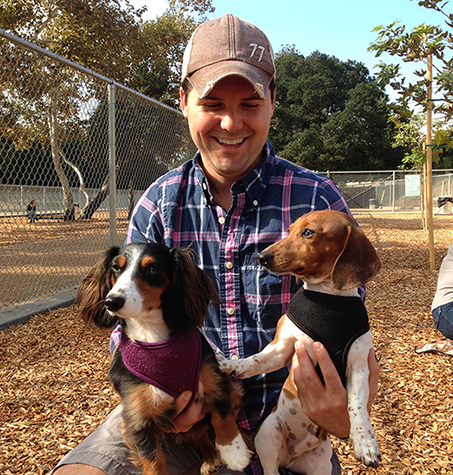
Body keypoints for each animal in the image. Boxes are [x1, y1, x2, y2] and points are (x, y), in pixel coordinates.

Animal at [77, 244, 251, 474]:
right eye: (116, 267)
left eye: (153, 269)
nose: (111, 301)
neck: (153, 338)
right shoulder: (139, 421)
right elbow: (153, 460)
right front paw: (228, 452)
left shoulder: (216, 381)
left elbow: (221, 416)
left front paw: (234, 451)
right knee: (199, 434)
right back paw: (211, 458)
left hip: (234, 390)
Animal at [217, 211, 380, 475]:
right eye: (290, 229)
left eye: (308, 232)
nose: (262, 257)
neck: (327, 298)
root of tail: (290, 458)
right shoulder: (282, 349)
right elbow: (255, 361)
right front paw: (232, 365)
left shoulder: (359, 366)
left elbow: (356, 405)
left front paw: (365, 442)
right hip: (269, 437)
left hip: (320, 463)